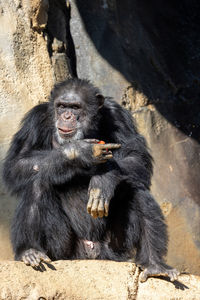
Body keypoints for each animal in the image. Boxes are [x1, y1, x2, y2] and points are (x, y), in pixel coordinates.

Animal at [2, 77, 179, 282]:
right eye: (61, 106)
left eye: (76, 107)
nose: (67, 116)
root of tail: (91, 253)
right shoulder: (35, 120)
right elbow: (17, 163)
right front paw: (79, 152)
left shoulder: (119, 115)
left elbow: (136, 156)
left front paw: (103, 179)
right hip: (64, 250)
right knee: (38, 183)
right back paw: (30, 250)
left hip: (114, 249)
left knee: (133, 187)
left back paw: (154, 264)